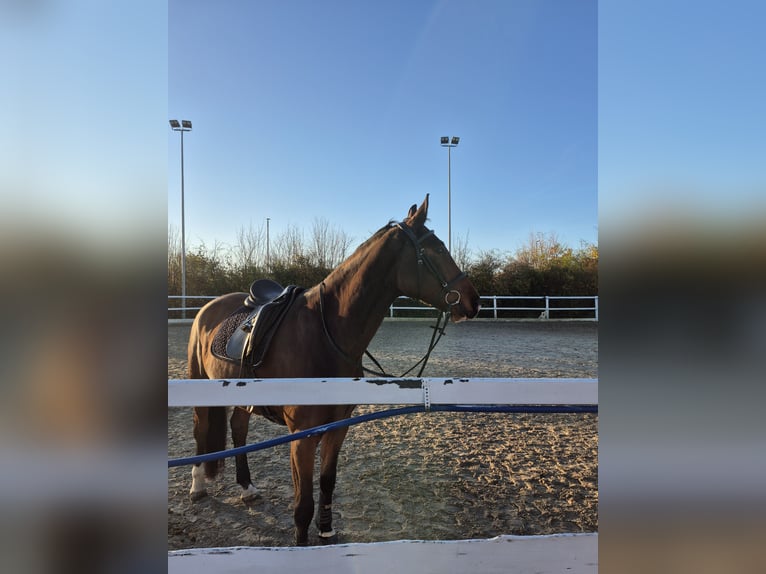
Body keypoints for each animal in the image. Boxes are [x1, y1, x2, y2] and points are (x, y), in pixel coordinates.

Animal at [187, 195, 480, 546]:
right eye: (435, 249)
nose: (474, 300)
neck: (324, 334)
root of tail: (208, 307)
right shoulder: (302, 436)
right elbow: (302, 503)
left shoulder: (338, 428)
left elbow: (327, 483)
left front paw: (326, 530)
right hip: (198, 383)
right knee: (201, 430)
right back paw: (198, 486)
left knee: (238, 429)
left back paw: (247, 488)